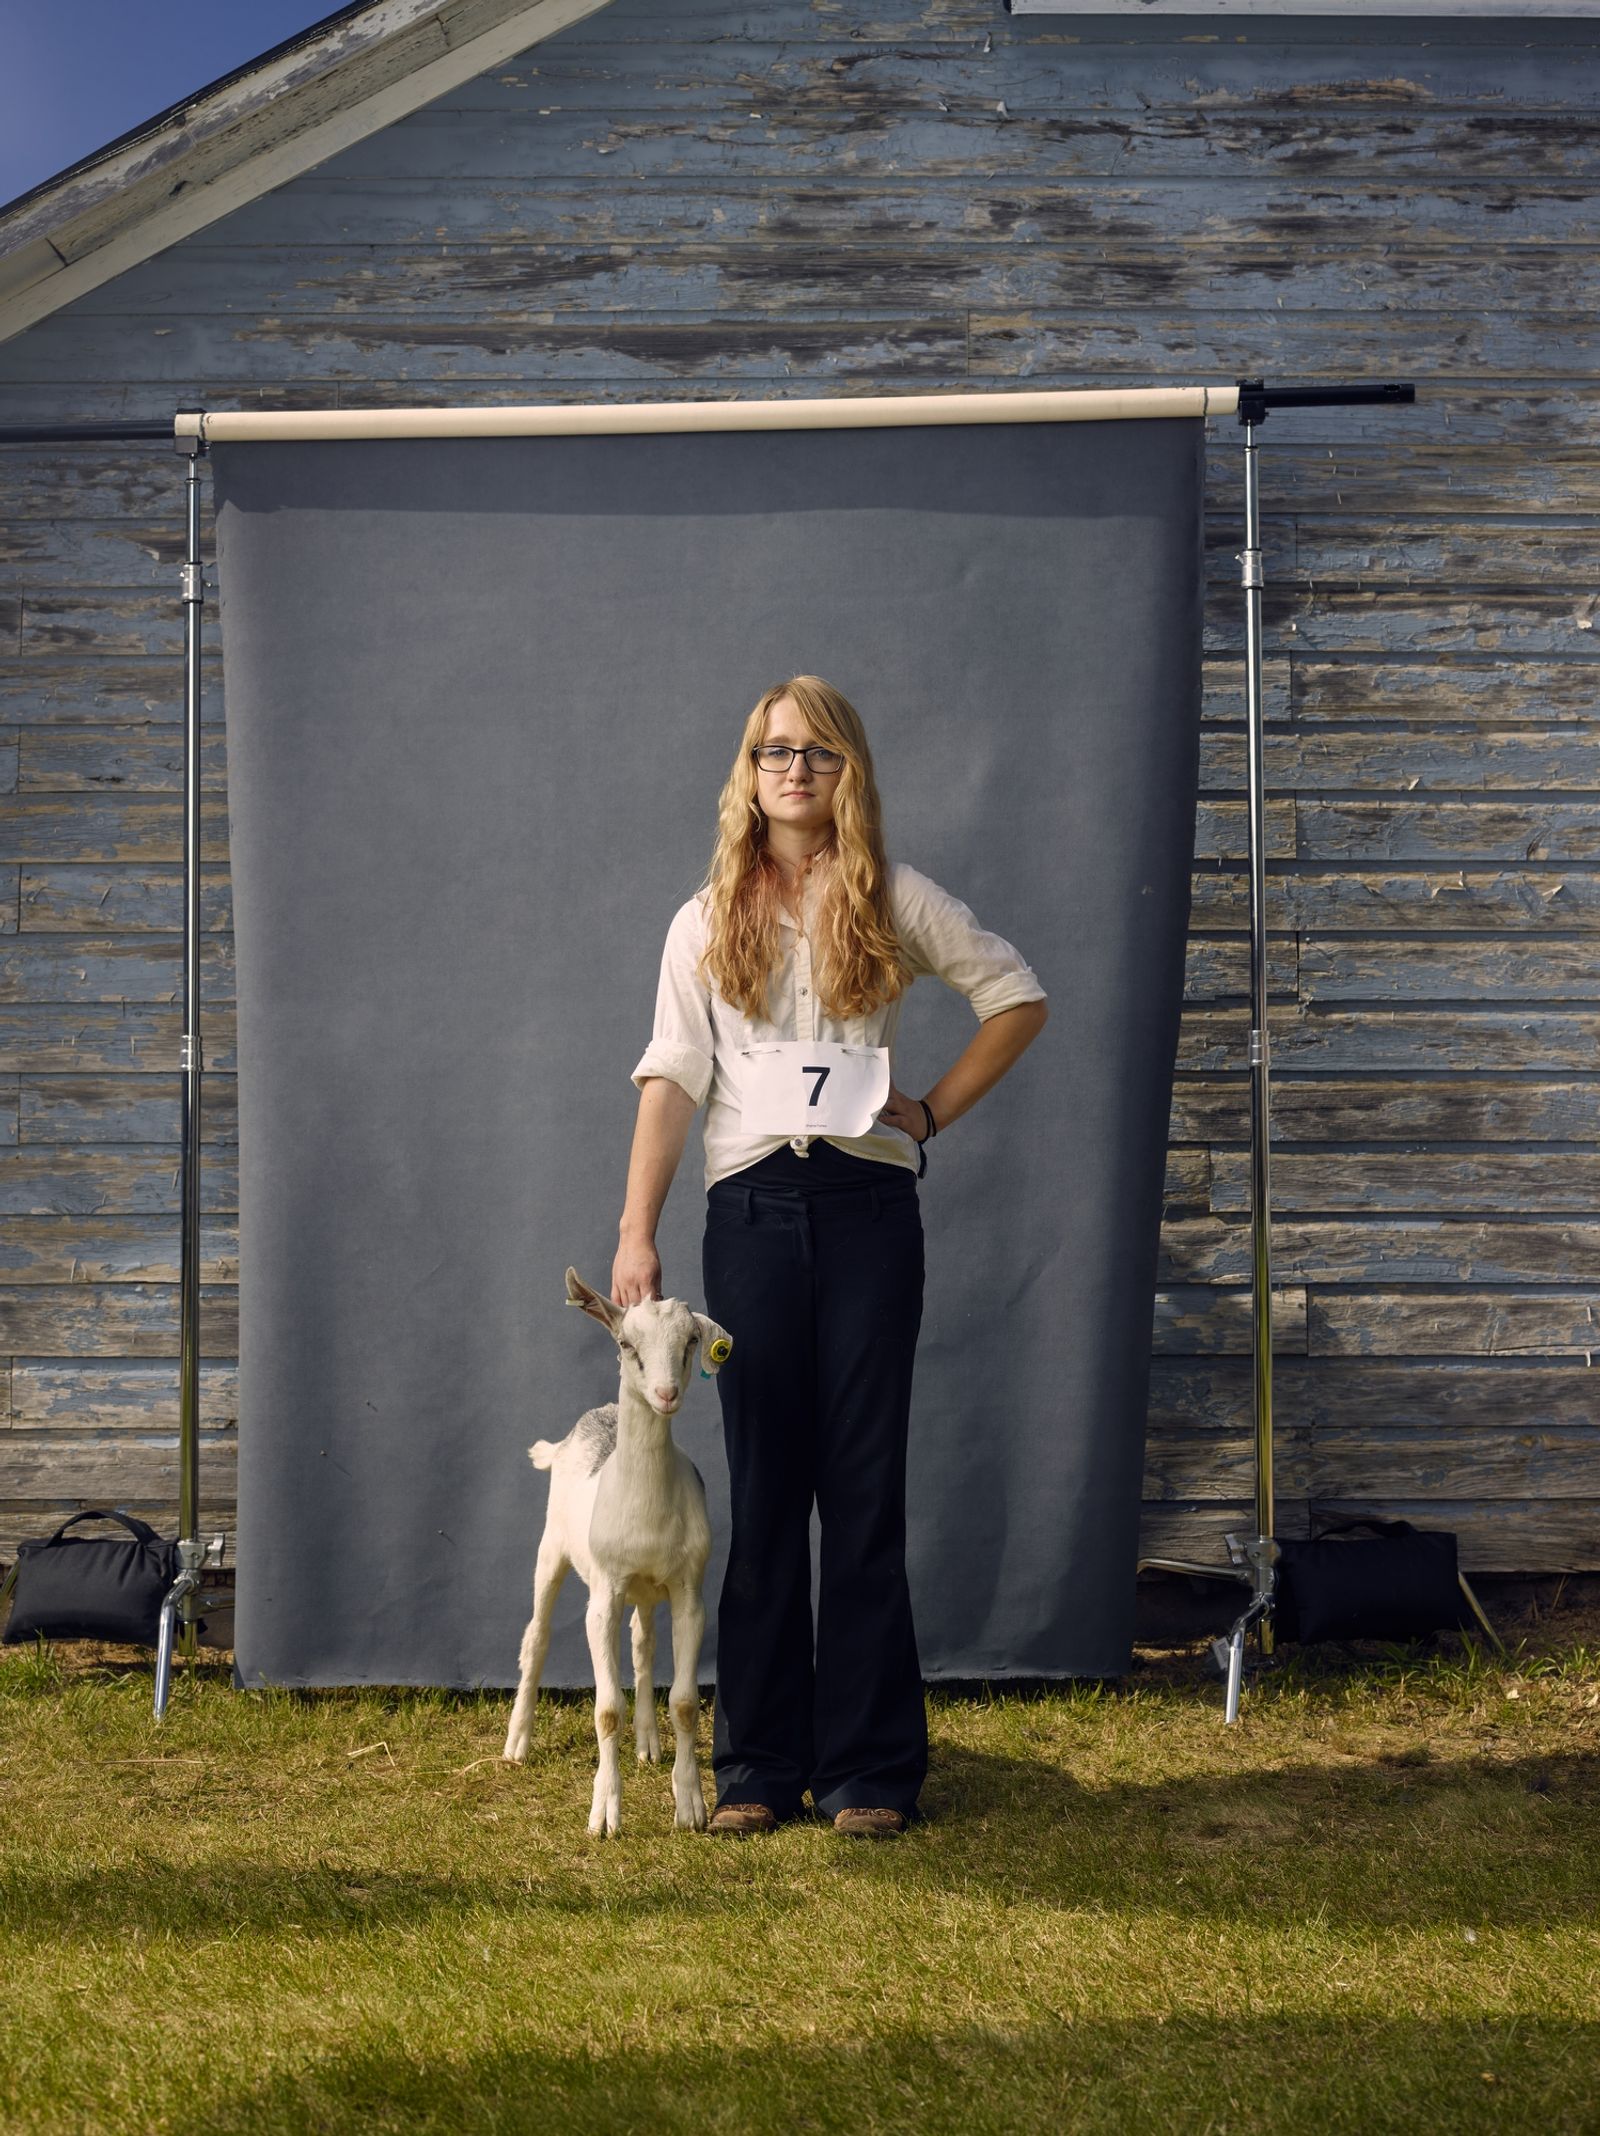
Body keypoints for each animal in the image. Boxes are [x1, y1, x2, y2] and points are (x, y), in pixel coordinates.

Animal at [499, 1264, 730, 1836]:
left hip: (644, 1590)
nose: (666, 1393)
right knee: (536, 1637)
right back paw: (517, 1742)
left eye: (690, 1341)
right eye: (627, 1343)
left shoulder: (689, 1591)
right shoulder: (602, 1593)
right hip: (552, 1551)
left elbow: (686, 1703)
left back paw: (648, 1742)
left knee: (642, 1642)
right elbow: (606, 1710)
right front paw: (604, 1814)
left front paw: (691, 1806)